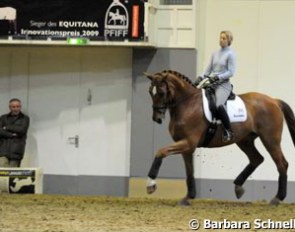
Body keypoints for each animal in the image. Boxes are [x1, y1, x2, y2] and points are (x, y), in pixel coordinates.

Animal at [145, 70, 295, 206]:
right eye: (150, 92)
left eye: (161, 92)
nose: (156, 118)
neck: (187, 104)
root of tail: (273, 101)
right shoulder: (187, 147)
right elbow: (190, 172)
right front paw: (188, 197)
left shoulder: (188, 143)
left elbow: (161, 152)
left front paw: (151, 185)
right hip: (245, 140)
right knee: (256, 159)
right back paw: (238, 187)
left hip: (270, 140)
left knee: (282, 164)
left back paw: (277, 199)